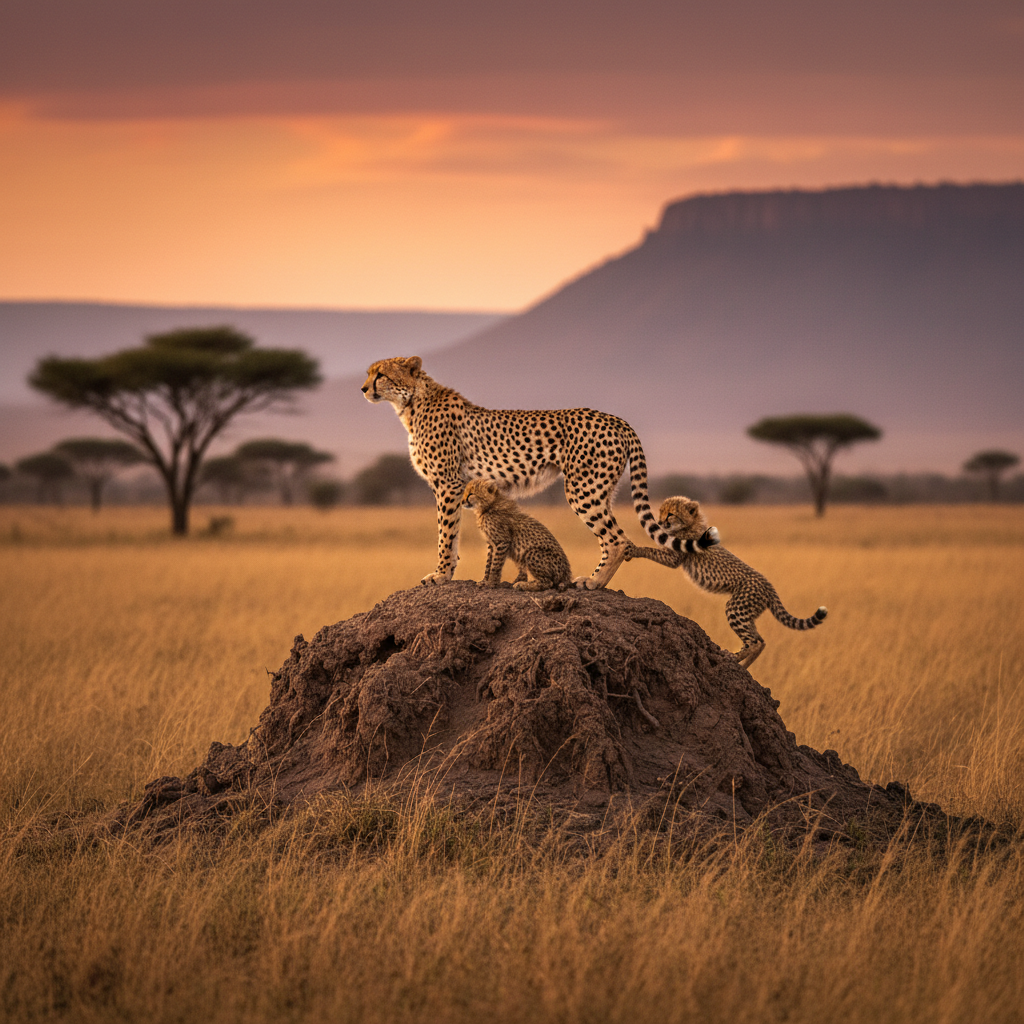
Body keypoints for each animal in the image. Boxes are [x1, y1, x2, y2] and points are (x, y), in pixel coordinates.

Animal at [361, 356, 719, 589]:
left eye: (381, 374)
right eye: (369, 373)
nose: (363, 389)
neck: (411, 403)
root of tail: (615, 418)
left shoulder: (448, 484)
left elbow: (446, 534)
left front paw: (441, 575)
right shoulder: (456, 486)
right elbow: (452, 533)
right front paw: (448, 573)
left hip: (582, 488)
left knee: (618, 540)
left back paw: (593, 582)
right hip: (600, 488)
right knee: (612, 538)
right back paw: (592, 580)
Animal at [625, 496, 827, 667]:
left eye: (671, 514)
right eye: (661, 512)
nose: (660, 522)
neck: (691, 525)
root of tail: (768, 585)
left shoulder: (674, 556)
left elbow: (651, 550)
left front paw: (633, 548)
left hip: (736, 607)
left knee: (753, 641)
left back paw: (731, 657)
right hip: (748, 612)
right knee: (760, 641)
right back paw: (743, 665)